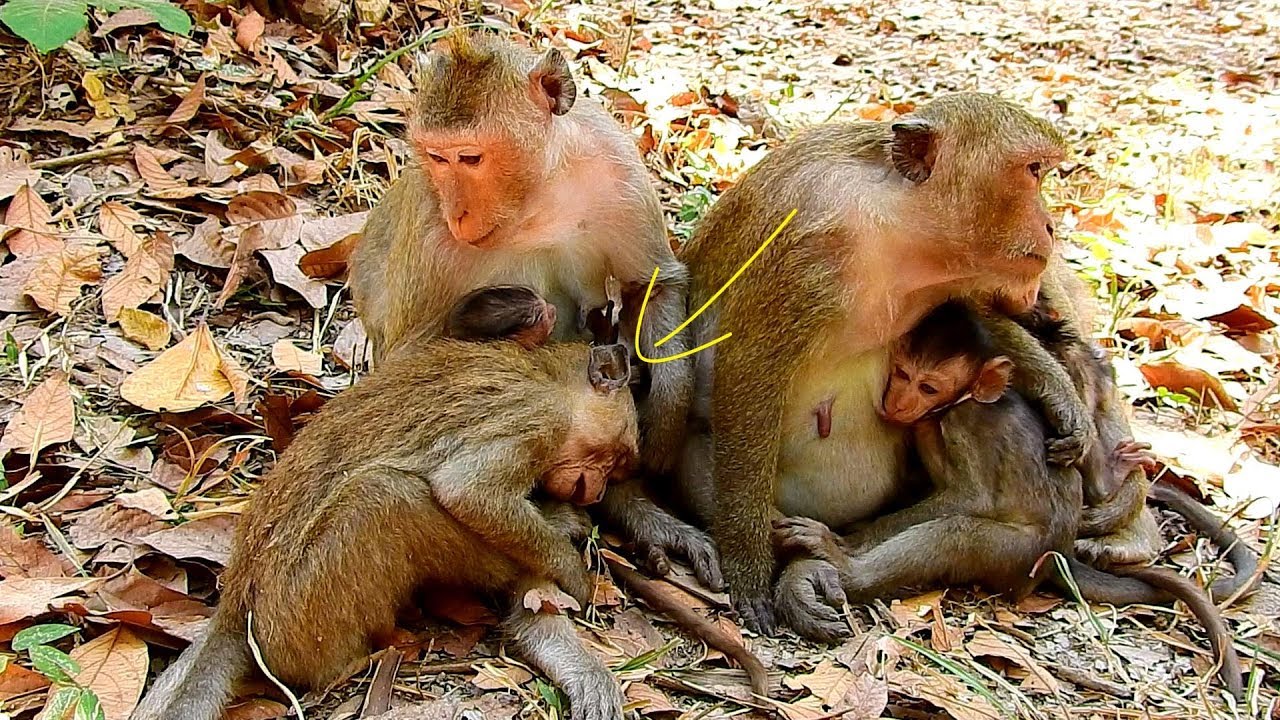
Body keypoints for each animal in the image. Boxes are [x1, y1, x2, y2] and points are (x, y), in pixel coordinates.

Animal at [131, 340, 640, 720]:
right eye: (615, 458)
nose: (595, 492)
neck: (547, 376)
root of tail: (238, 601)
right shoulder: (538, 419)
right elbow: (469, 493)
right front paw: (572, 573)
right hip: (300, 617)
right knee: (384, 495)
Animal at [349, 32, 719, 589]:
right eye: (437, 157)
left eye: (470, 158)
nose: (458, 212)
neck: (534, 198)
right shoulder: (430, 224)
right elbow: (412, 364)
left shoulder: (619, 171)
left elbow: (649, 285)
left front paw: (666, 412)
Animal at [675, 92, 1101, 634]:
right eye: (1032, 171)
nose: (1049, 226)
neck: (895, 226)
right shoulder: (810, 248)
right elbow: (749, 370)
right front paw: (747, 566)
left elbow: (976, 319)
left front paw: (1064, 402)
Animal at [771, 300, 1244, 698]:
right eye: (902, 374)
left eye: (928, 387)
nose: (898, 401)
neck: (954, 404)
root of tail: (1058, 555)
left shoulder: (960, 420)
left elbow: (969, 497)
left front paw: (849, 539)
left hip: (1016, 556)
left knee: (957, 535)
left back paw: (840, 563)